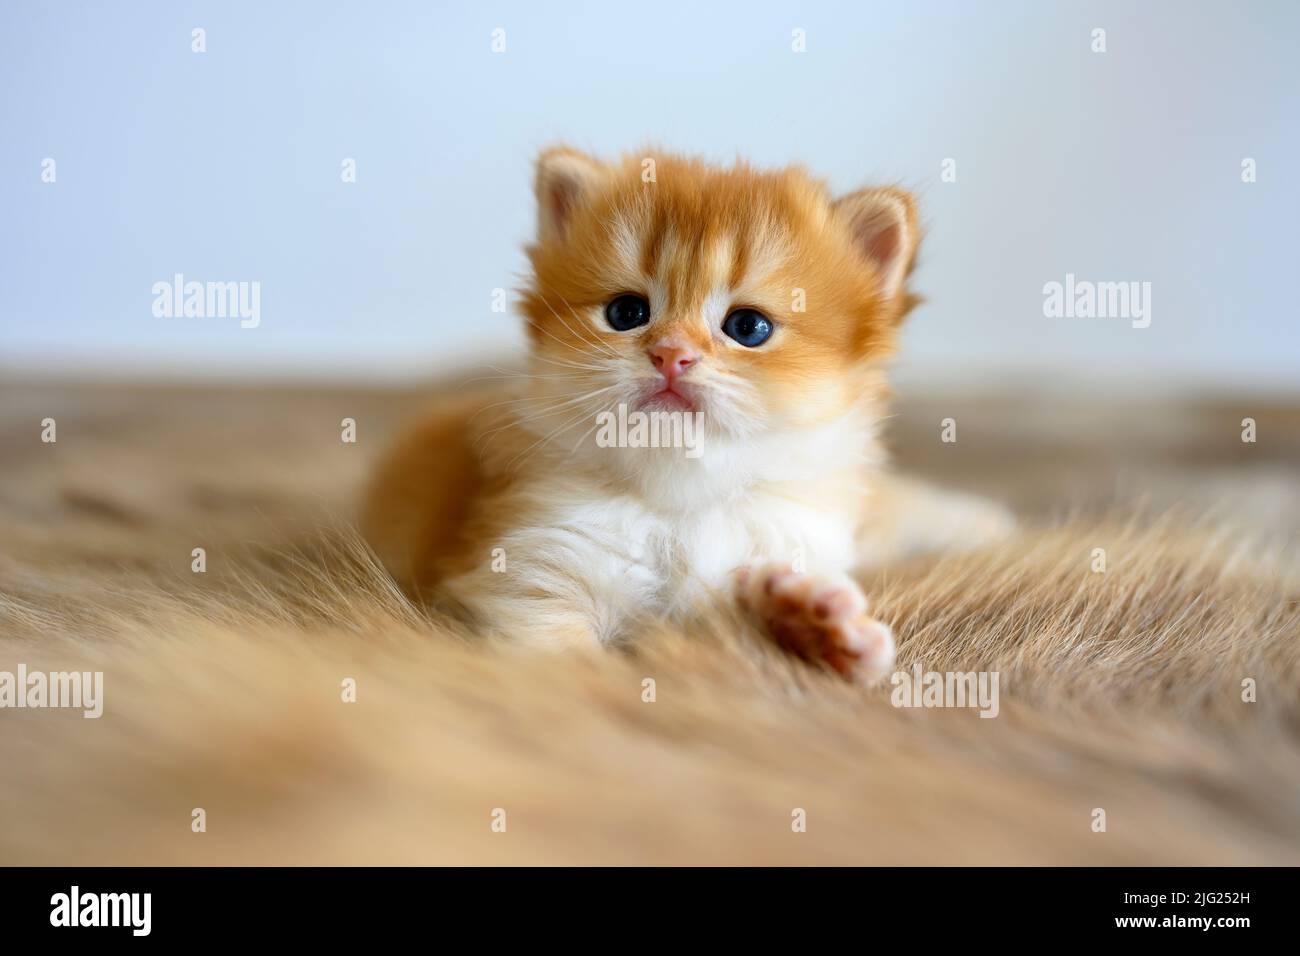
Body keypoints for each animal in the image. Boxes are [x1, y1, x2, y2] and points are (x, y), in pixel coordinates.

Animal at [361, 147, 1008, 681]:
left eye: (748, 327)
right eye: (626, 313)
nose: (671, 354)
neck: (682, 502)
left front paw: (807, 623)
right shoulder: (533, 573)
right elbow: (561, 653)